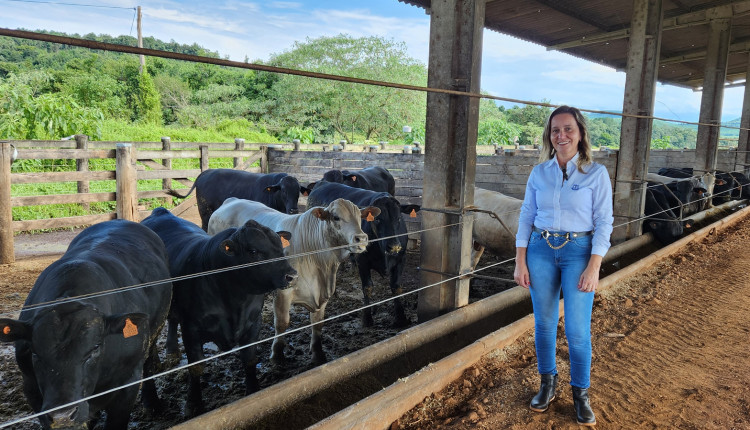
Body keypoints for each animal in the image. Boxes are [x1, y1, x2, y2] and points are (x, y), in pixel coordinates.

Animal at [0, 222, 172, 430]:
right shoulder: (31, 390)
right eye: (35, 353)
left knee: (148, 363)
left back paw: (152, 403)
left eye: (95, 348)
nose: (62, 416)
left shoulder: (128, 383)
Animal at [141, 208, 296, 416]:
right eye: (253, 251)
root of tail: (161, 212)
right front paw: (193, 404)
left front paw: (254, 391)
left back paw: (172, 351)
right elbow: (196, 367)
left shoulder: (253, 322)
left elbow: (249, 359)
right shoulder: (191, 329)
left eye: (280, 246)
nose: (291, 275)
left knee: (172, 320)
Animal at [207, 197, 378, 364]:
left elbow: (317, 323)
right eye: (336, 217)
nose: (361, 238)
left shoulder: (322, 294)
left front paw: (318, 354)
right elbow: (282, 323)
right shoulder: (283, 292)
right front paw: (277, 355)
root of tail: (230, 201)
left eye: (360, 216)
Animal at [306, 181, 424, 326]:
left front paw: (400, 318)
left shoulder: (401, 259)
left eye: (399, 219)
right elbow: (367, 287)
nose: (394, 246)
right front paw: (367, 318)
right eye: (377, 220)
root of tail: (322, 183)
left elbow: (396, 286)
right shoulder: (362, 261)